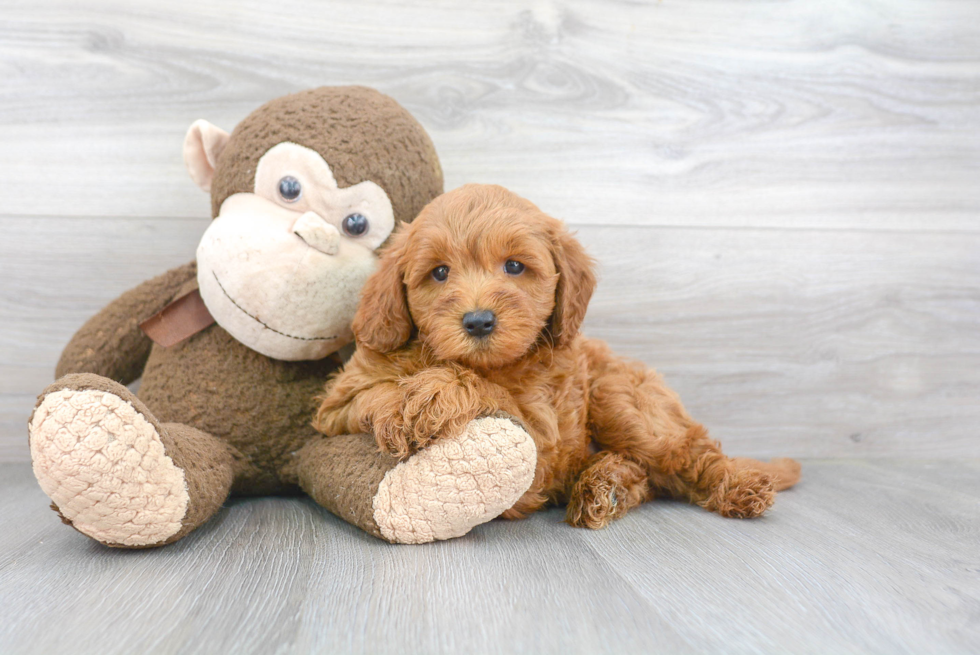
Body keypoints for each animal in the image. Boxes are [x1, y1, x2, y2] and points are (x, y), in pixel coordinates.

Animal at [318, 183, 800, 528]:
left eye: (514, 266)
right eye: (439, 273)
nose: (478, 321)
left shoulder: (544, 437)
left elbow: (491, 392)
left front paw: (433, 394)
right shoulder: (336, 406)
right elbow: (370, 397)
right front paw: (406, 405)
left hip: (620, 399)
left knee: (689, 454)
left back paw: (738, 484)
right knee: (648, 475)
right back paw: (607, 485)